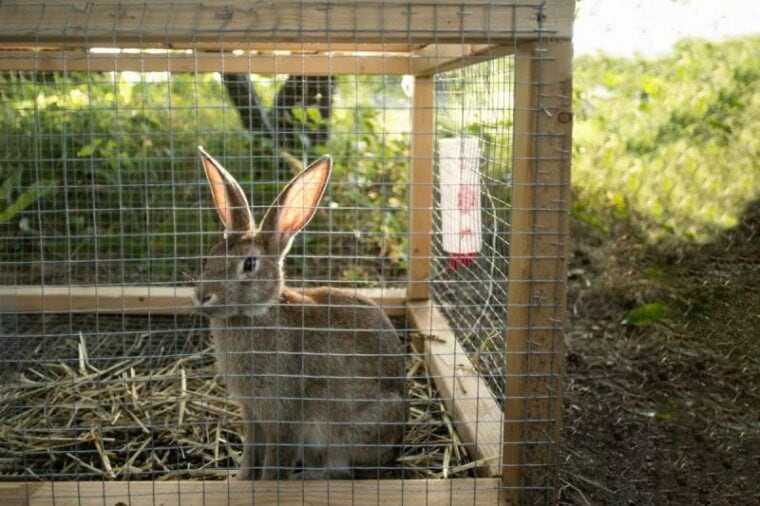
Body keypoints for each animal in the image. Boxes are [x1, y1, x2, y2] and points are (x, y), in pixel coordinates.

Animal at [192, 147, 407, 481]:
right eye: (210, 257)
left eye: (249, 264)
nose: (202, 296)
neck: (257, 314)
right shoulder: (252, 414)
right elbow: (250, 454)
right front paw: (240, 481)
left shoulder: (285, 419)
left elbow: (273, 463)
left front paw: (267, 484)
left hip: (349, 432)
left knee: (343, 471)